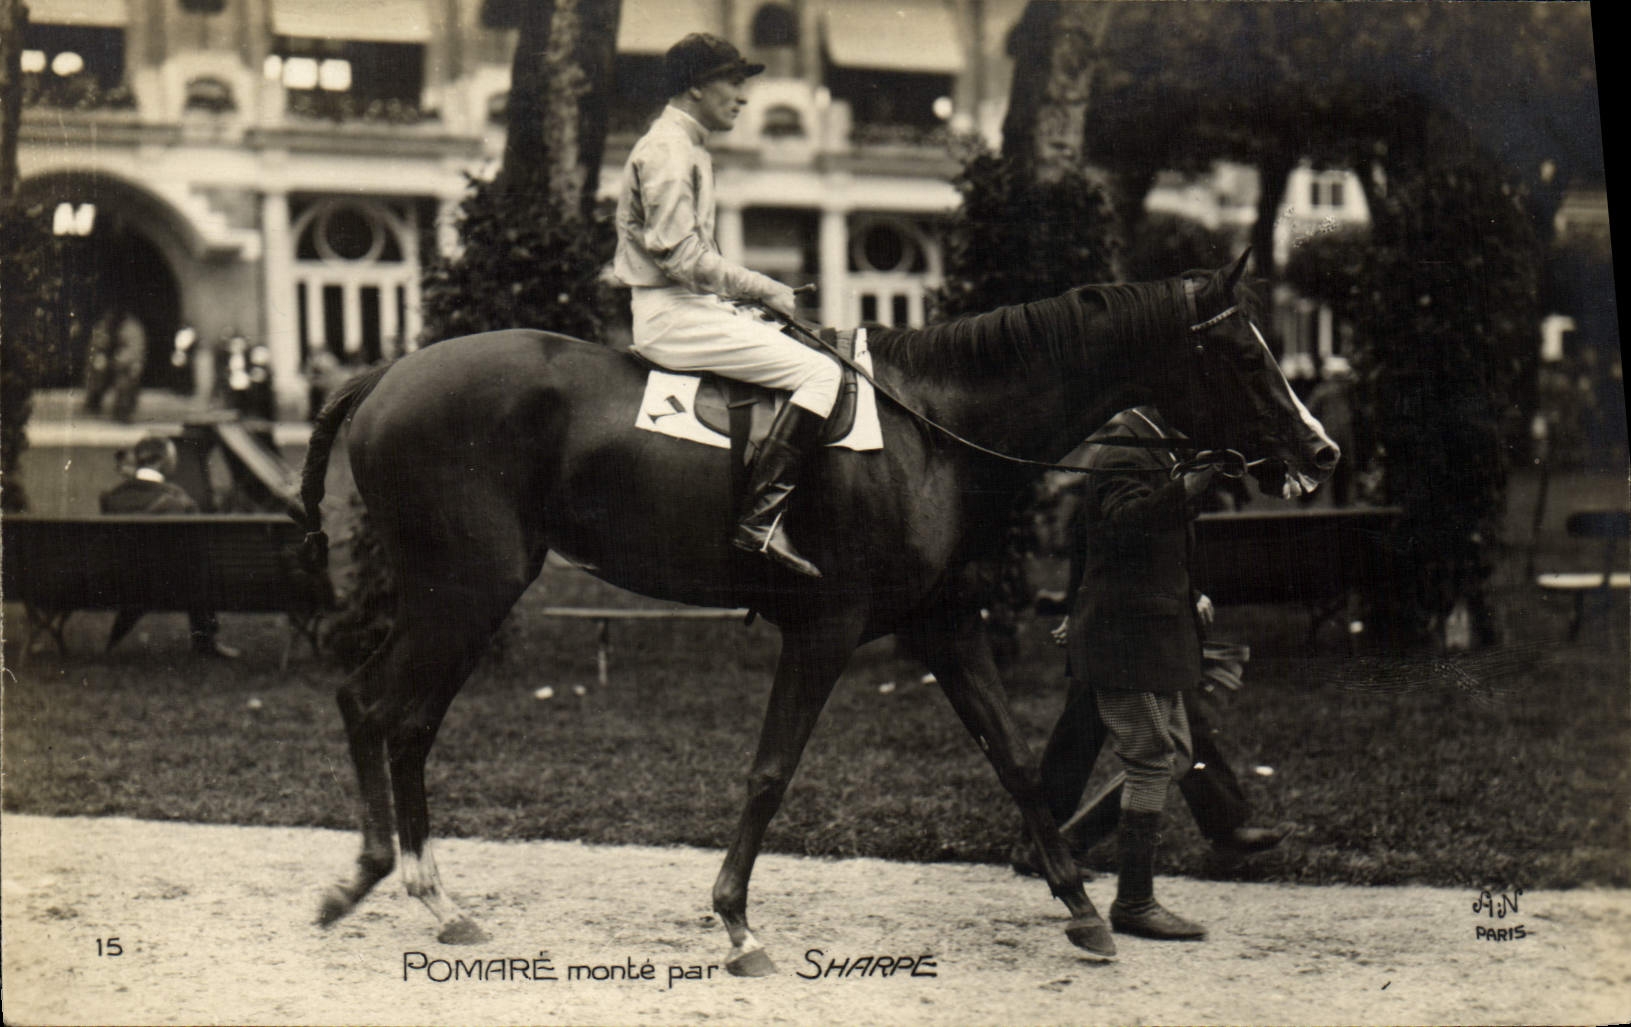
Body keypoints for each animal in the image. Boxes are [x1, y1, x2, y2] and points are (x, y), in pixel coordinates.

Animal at [298, 252, 1338, 971]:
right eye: (1243, 353)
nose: (1321, 450)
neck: (932, 432)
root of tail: (386, 373)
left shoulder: (943, 623)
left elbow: (1011, 758)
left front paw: (1081, 907)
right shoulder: (826, 629)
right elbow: (771, 769)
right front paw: (734, 920)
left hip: (451, 592)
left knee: (374, 706)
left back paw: (396, 882)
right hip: (470, 587)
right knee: (394, 712)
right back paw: (408, 888)